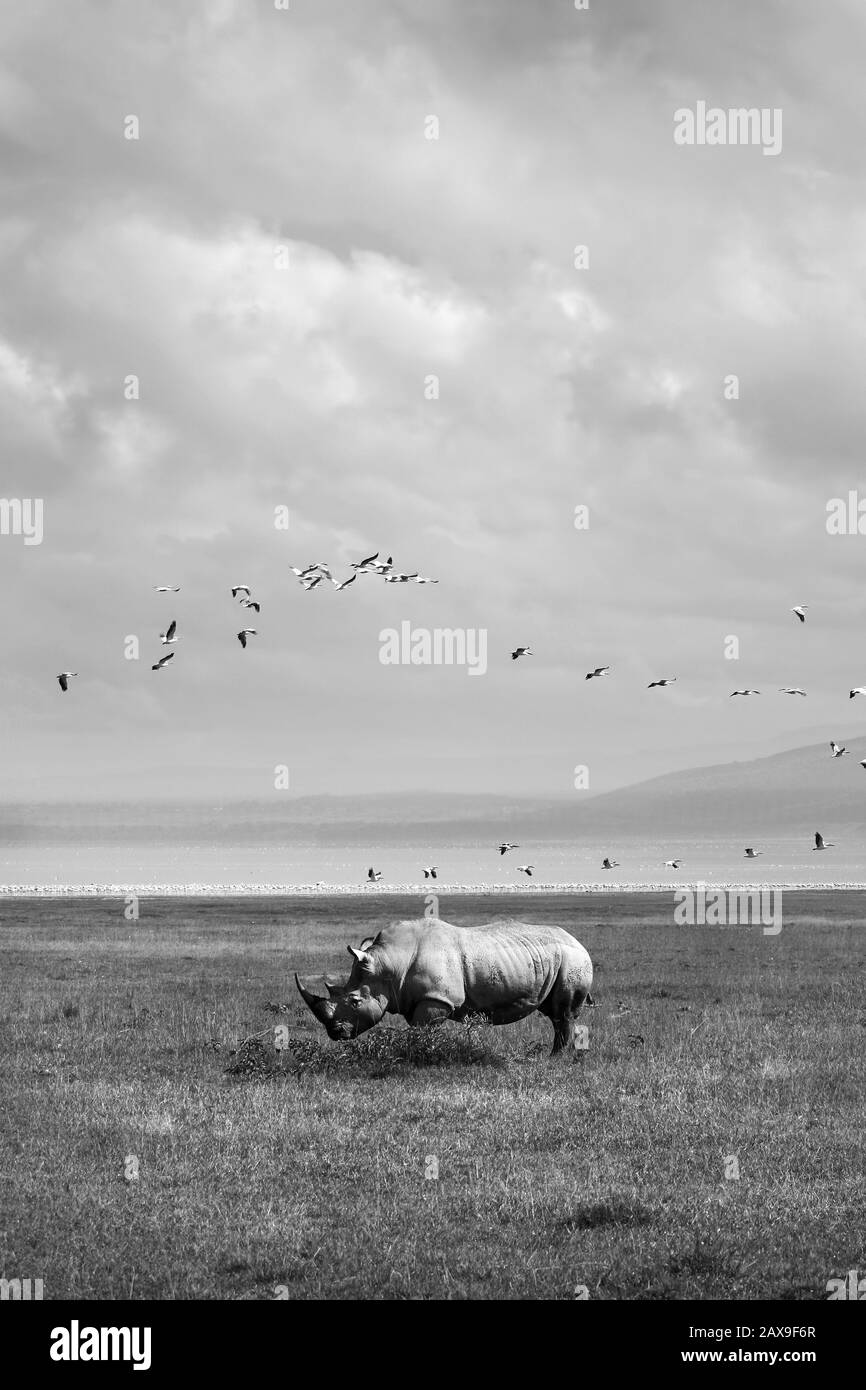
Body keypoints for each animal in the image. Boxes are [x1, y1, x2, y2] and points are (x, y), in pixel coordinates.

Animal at [295, 917, 593, 1055]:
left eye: (355, 1001)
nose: (335, 1033)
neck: (389, 963)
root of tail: (579, 941)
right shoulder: (415, 998)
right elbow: (418, 1030)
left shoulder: (437, 999)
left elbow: (421, 1031)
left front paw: (419, 1056)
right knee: (553, 1012)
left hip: (573, 959)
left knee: (563, 1013)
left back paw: (554, 1059)